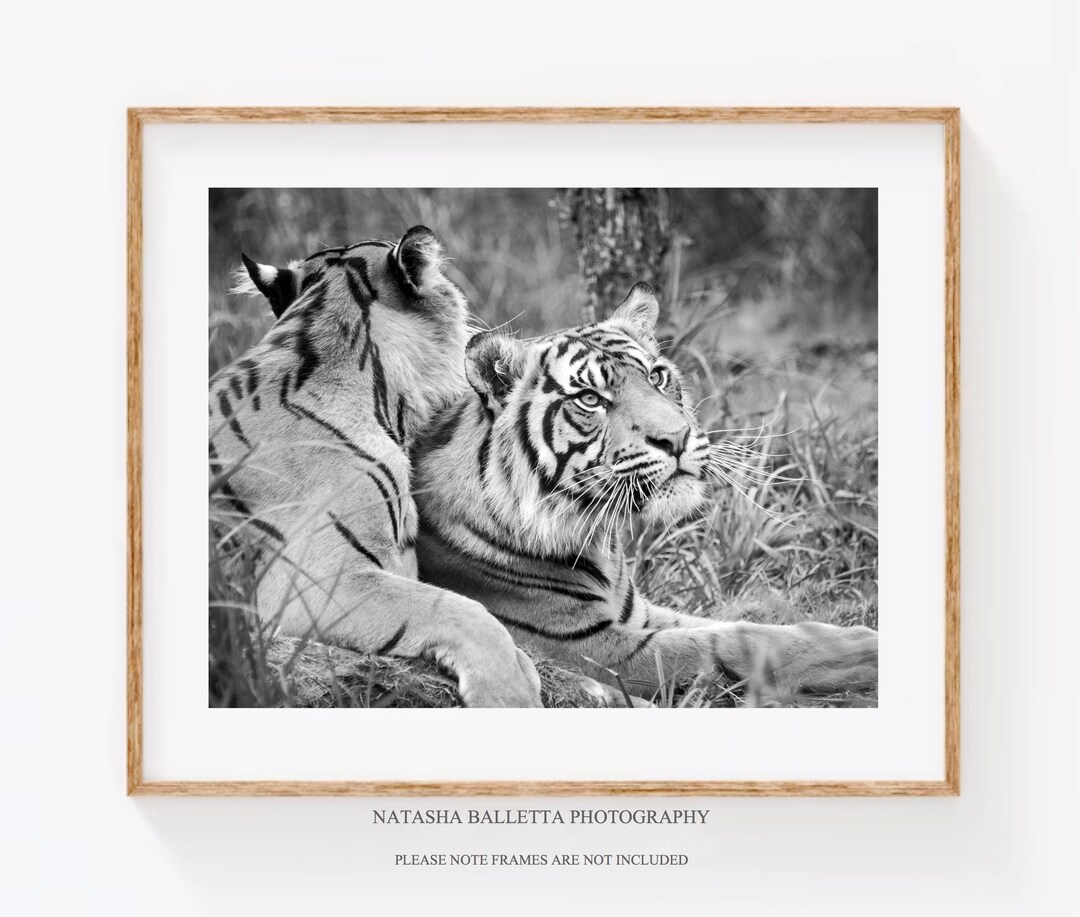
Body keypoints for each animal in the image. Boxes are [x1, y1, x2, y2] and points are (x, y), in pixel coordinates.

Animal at [413, 282, 879, 700]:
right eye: (589, 399)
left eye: (657, 376)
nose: (676, 437)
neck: (599, 542)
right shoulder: (590, 647)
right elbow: (732, 641)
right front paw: (864, 648)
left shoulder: (641, 614)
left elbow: (730, 624)